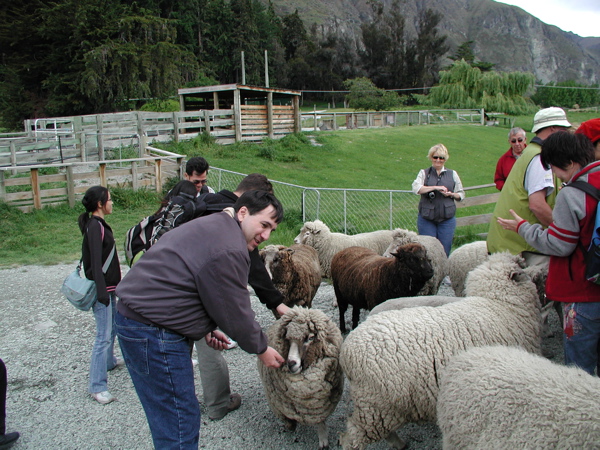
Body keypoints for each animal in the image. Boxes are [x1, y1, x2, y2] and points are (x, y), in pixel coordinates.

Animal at [257, 307, 344, 450]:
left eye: (310, 337)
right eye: (287, 338)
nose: (291, 364)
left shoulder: (319, 405)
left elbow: (321, 422)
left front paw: (323, 440)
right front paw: (290, 425)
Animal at [338, 252, 543, 450]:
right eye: (521, 266)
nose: (539, 271)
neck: (500, 305)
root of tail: (347, 350)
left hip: (379, 406)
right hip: (377, 403)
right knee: (353, 438)